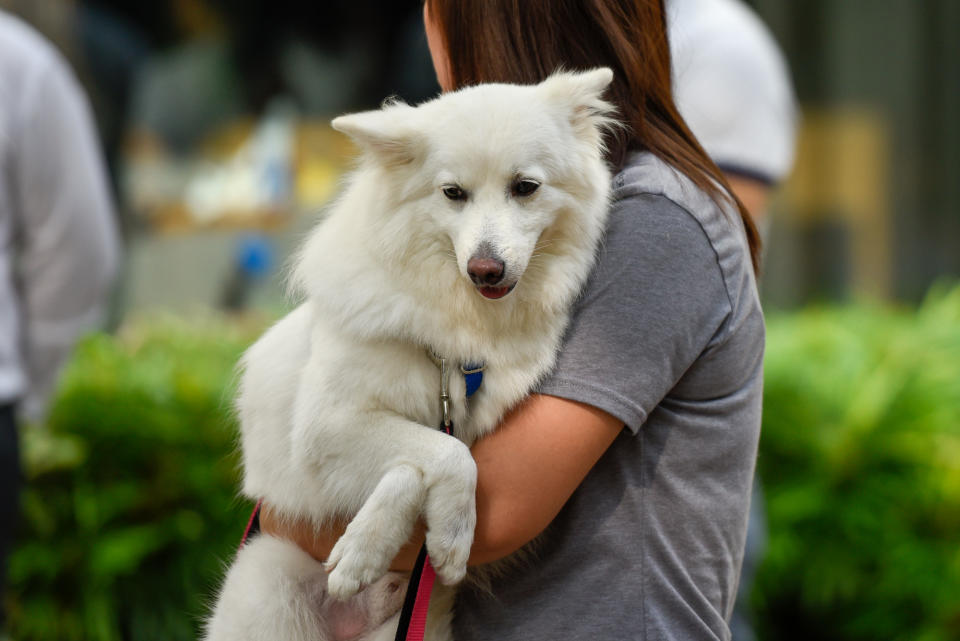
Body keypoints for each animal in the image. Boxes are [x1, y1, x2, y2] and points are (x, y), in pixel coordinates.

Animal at [206, 67, 620, 636]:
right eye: (453, 193)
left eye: (525, 188)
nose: (485, 270)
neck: (455, 335)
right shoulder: (326, 427)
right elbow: (441, 453)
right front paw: (383, 545)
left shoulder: (459, 426)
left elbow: (432, 455)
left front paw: (413, 540)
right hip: (269, 582)